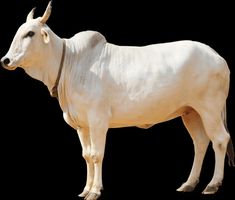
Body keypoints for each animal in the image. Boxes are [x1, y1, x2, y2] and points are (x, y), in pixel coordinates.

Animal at [0, 1, 234, 200]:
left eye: (30, 33)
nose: (6, 60)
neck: (71, 63)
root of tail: (217, 56)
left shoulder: (98, 120)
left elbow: (97, 154)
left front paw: (95, 191)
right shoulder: (81, 125)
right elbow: (86, 155)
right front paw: (85, 189)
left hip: (210, 109)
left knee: (220, 140)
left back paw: (212, 184)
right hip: (191, 112)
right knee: (200, 143)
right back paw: (189, 183)